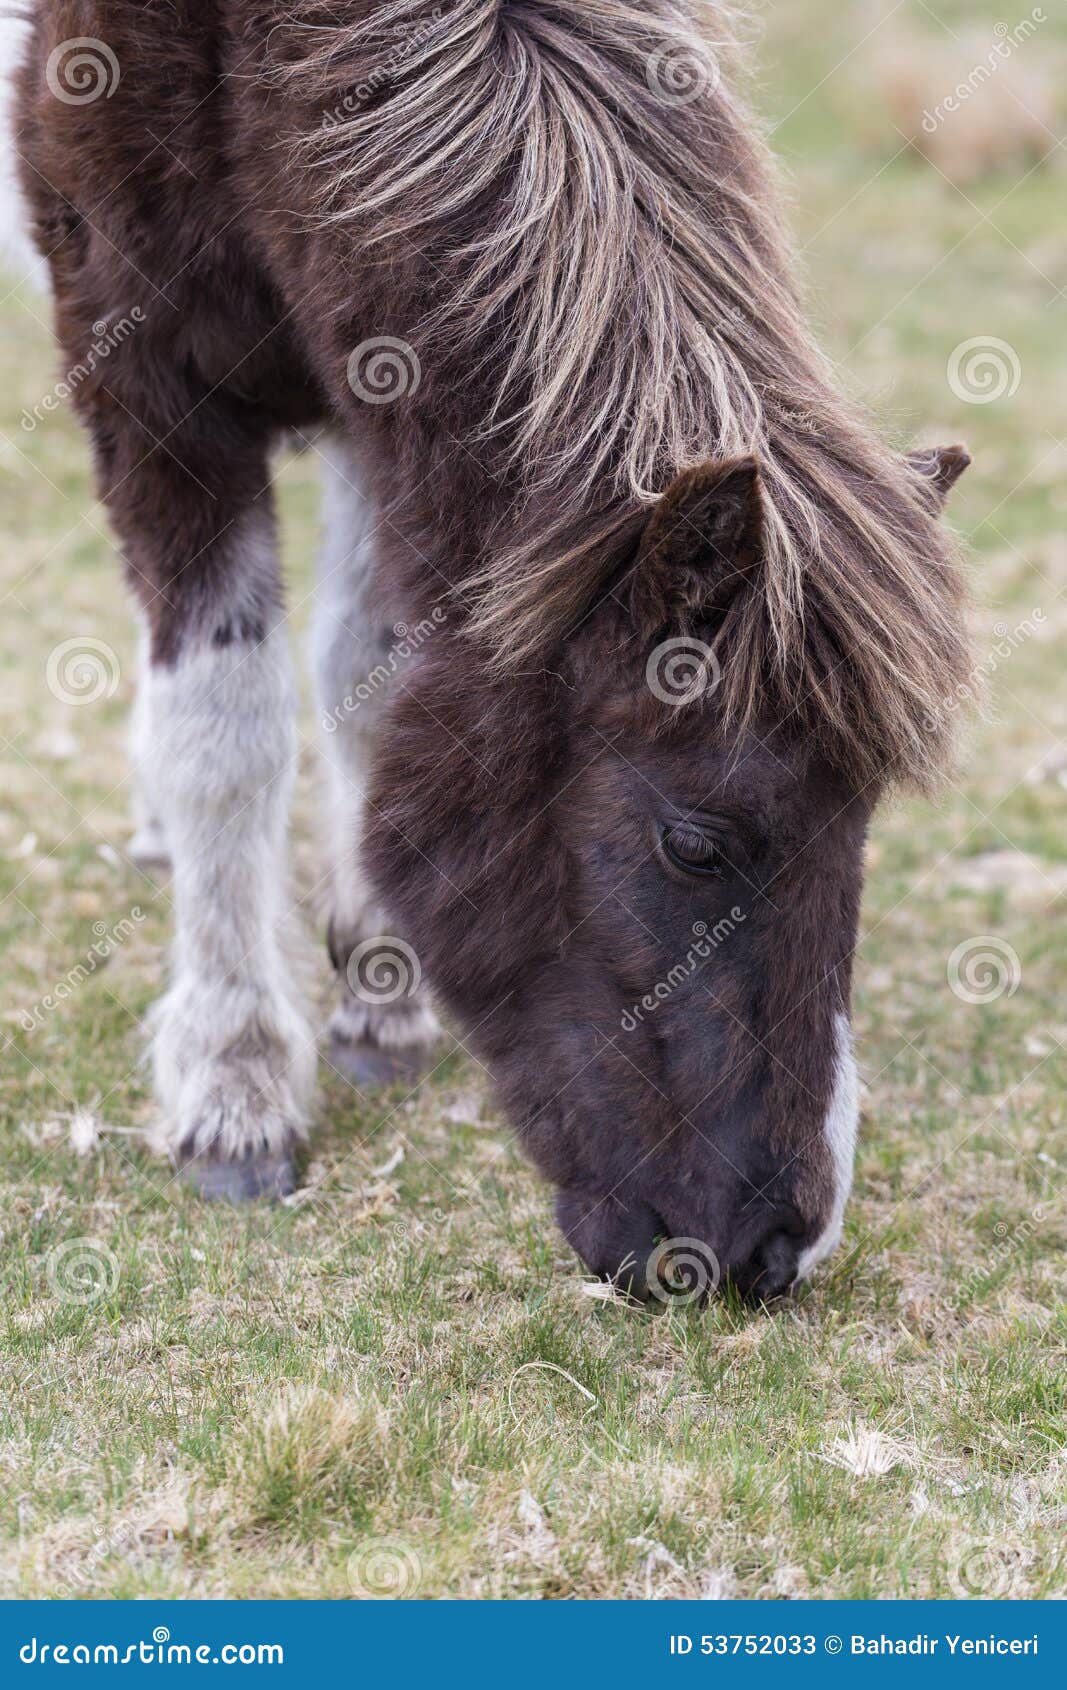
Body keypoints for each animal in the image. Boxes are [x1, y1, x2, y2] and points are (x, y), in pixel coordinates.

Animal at [16, 1, 973, 1301]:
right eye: (693, 844)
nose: (778, 1249)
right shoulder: (148, 374)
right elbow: (225, 729)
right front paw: (234, 1085)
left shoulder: (371, 372)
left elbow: (368, 679)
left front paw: (379, 995)